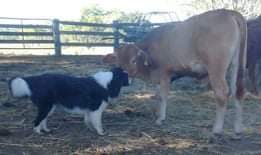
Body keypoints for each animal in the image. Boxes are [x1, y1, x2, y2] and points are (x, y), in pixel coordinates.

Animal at [104, 9, 246, 136]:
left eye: (133, 60)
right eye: (118, 62)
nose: (127, 75)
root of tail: (227, 12)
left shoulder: (165, 74)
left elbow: (163, 96)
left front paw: (160, 119)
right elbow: (157, 95)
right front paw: (157, 113)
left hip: (216, 68)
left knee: (222, 93)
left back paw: (217, 129)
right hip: (236, 65)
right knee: (237, 91)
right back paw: (238, 128)